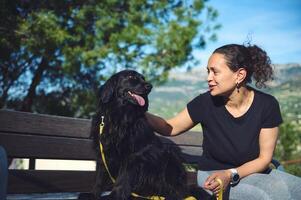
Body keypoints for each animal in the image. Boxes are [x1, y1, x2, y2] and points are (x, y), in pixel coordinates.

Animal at [89, 70, 202, 200]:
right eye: (131, 77)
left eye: (143, 78)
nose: (150, 86)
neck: (120, 117)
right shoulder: (102, 151)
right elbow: (99, 177)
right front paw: (94, 194)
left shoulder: (131, 155)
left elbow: (123, 178)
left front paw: (115, 195)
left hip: (170, 160)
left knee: (178, 192)